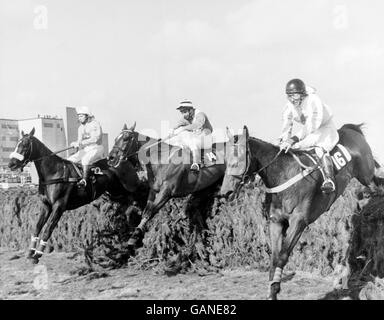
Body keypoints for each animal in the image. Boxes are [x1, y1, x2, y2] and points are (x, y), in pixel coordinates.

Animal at [7, 128, 148, 264]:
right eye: (17, 143)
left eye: (25, 144)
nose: (11, 164)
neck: (54, 173)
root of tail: (125, 159)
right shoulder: (46, 205)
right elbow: (37, 227)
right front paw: (30, 252)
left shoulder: (59, 206)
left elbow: (48, 229)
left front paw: (37, 254)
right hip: (116, 192)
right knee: (128, 204)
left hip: (129, 186)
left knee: (140, 195)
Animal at [107, 123, 228, 252]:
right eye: (115, 139)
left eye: (125, 138)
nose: (110, 158)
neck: (162, 160)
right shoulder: (154, 191)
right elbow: (146, 212)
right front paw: (134, 237)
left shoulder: (166, 191)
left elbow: (150, 212)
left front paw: (135, 235)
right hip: (207, 185)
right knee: (195, 205)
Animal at [219, 123, 378, 300]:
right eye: (225, 160)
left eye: (239, 159)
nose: (225, 193)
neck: (283, 175)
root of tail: (351, 129)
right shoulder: (276, 222)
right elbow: (274, 258)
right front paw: (272, 291)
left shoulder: (299, 222)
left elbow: (282, 256)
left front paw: (275, 288)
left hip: (365, 174)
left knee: (377, 183)